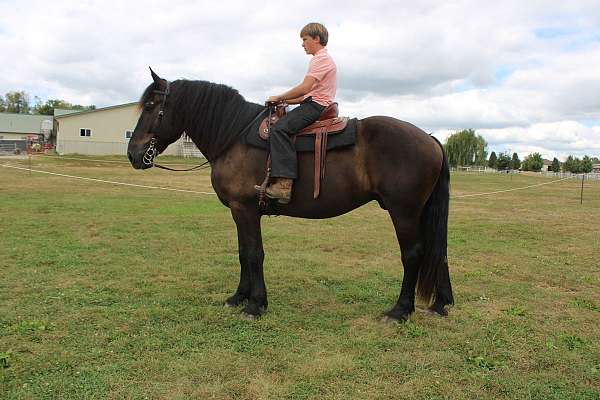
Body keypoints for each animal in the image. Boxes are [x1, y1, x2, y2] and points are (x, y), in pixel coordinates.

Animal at [127, 69, 454, 322]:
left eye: (152, 105)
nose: (133, 153)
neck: (234, 136)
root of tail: (430, 139)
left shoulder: (245, 209)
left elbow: (254, 254)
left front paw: (255, 305)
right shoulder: (239, 212)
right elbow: (242, 252)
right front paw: (238, 297)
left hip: (404, 212)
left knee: (413, 254)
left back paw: (399, 311)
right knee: (438, 251)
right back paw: (440, 303)